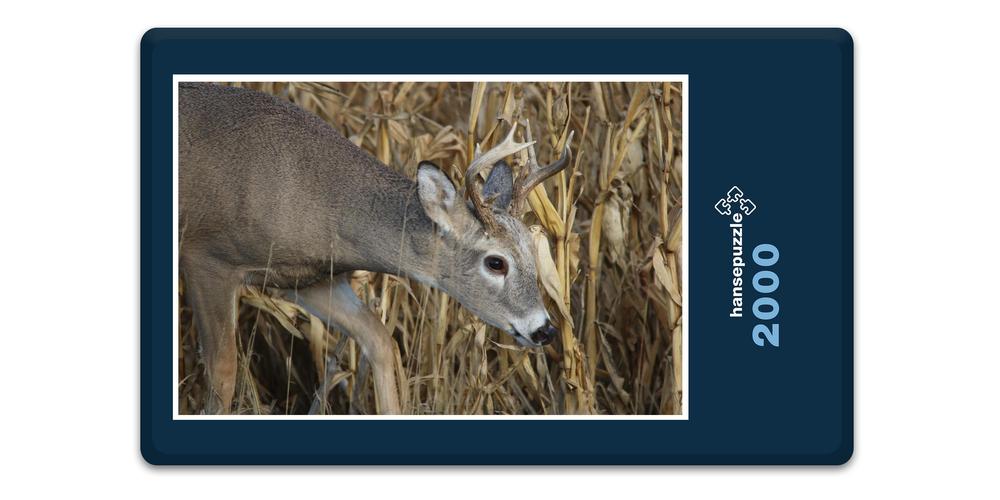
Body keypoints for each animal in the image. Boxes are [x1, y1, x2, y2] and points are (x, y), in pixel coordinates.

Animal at [178, 82, 572, 414]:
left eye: (533, 252)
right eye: (496, 263)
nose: (545, 330)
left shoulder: (308, 279)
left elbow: (381, 340)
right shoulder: (207, 257)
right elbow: (223, 372)